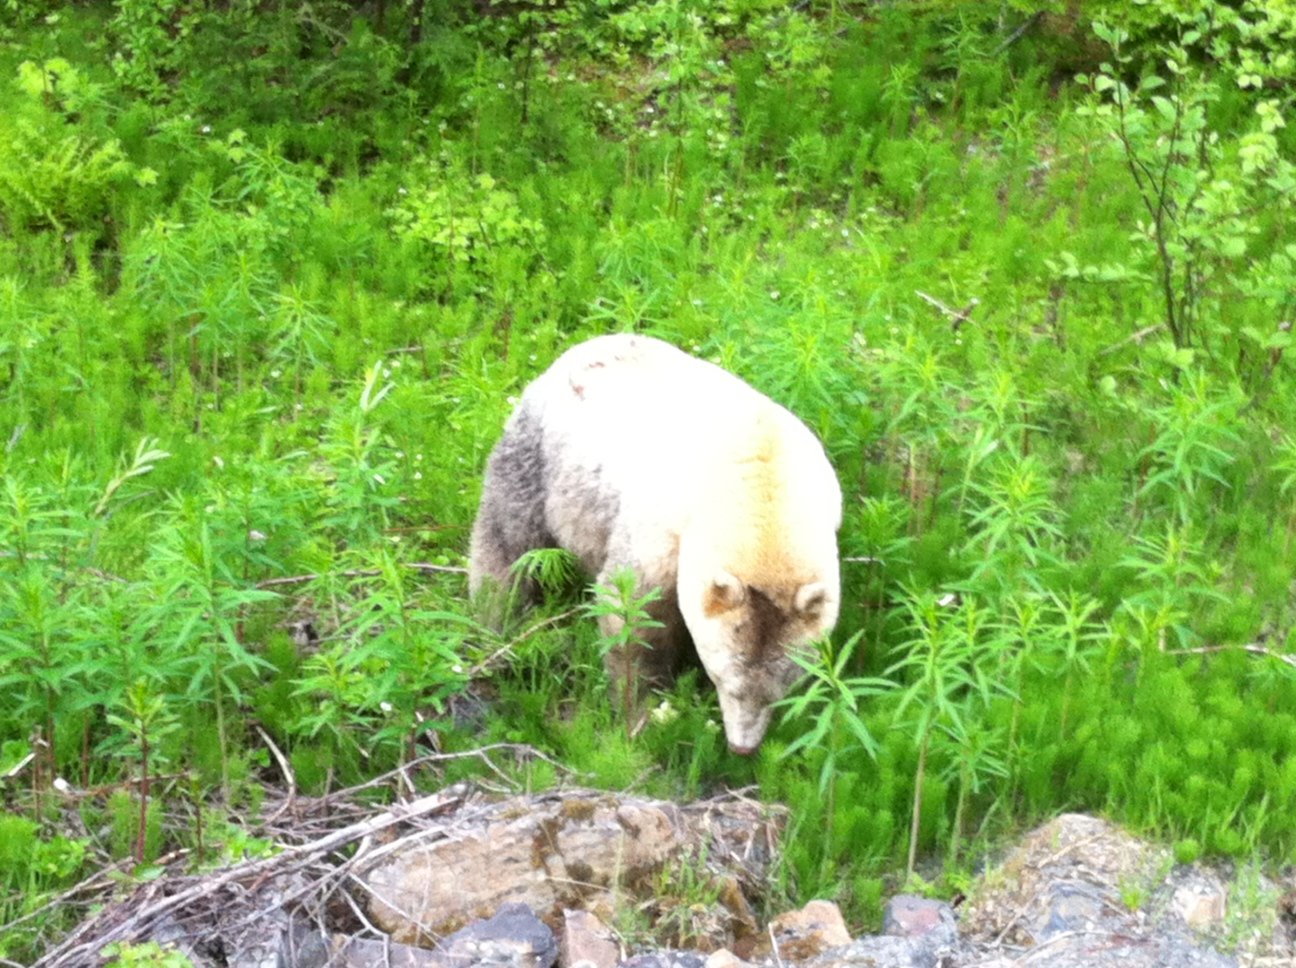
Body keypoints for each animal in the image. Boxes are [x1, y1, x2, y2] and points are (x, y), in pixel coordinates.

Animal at [468, 333, 842, 754]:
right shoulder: (663, 529)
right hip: (538, 458)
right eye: (724, 678)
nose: (742, 747)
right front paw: (641, 714)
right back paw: (500, 628)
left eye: (782, 689)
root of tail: (581, 347)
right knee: (508, 544)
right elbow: (633, 612)